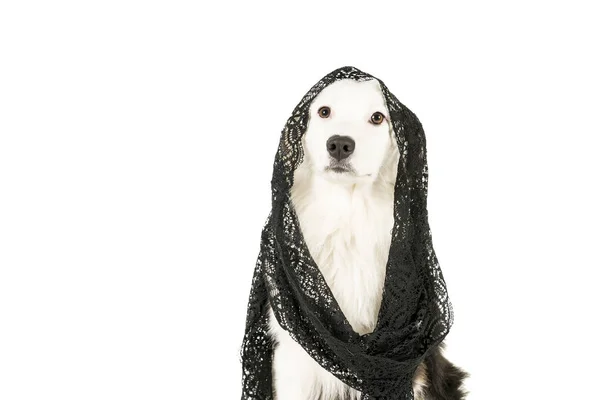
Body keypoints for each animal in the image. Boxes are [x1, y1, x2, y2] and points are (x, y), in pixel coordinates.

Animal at [268, 76, 468, 398]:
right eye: (324, 111)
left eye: (377, 117)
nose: (339, 144)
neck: (348, 218)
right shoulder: (293, 355)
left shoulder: (400, 361)